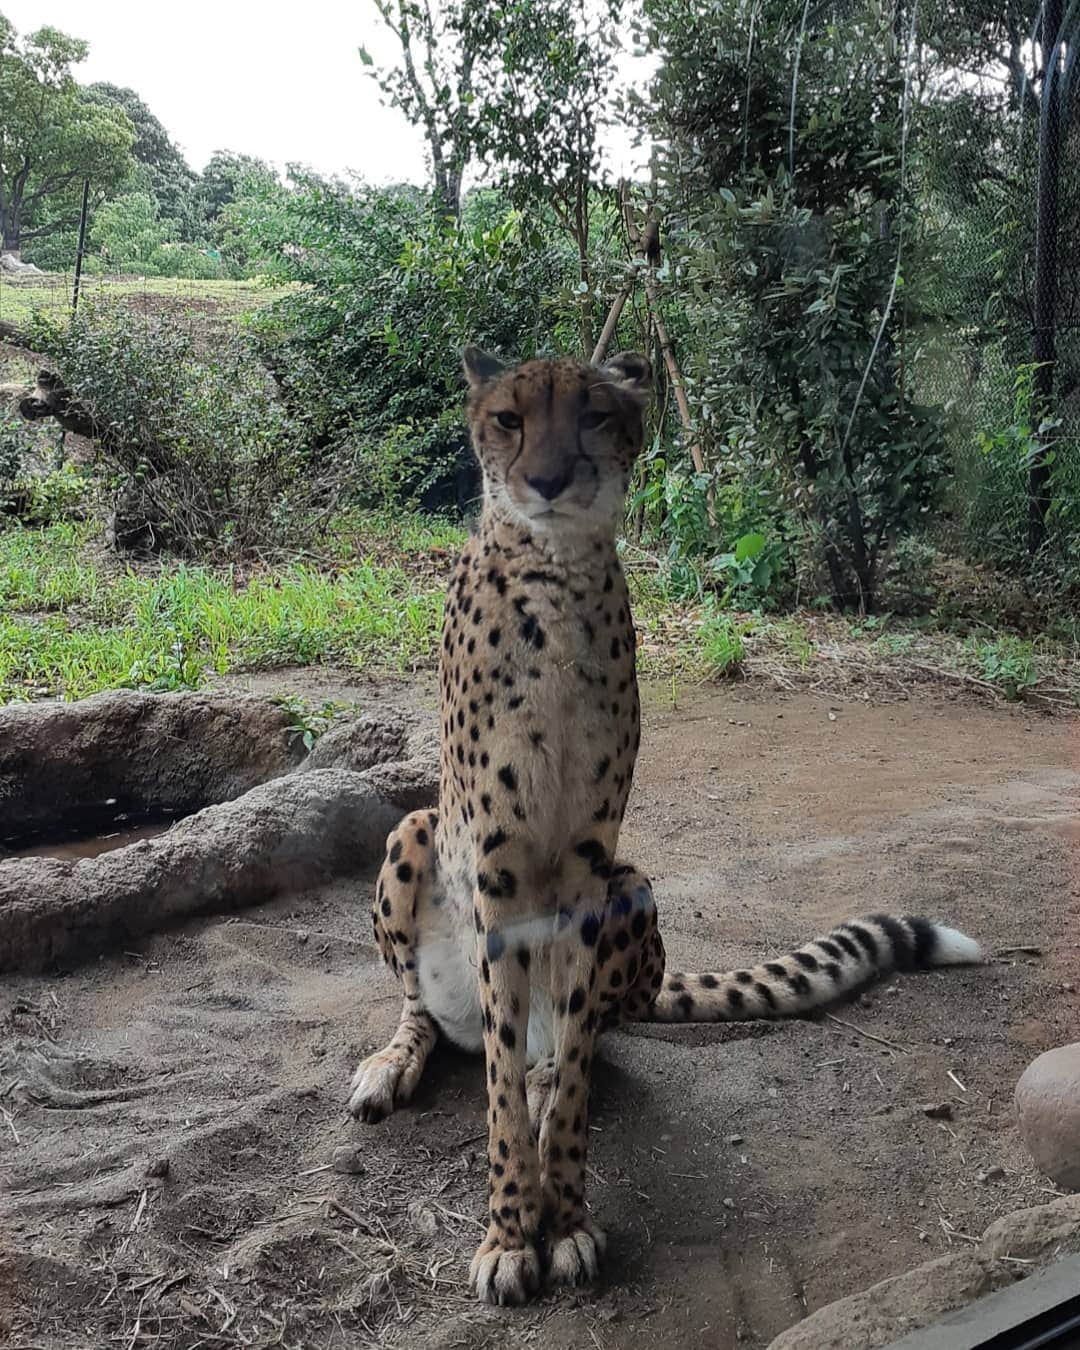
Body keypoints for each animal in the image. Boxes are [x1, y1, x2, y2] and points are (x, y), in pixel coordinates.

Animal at [345, 345, 977, 1306]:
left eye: (595, 416)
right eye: (508, 419)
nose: (546, 479)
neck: (556, 578)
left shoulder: (586, 870)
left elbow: (569, 1069)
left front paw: (564, 1217)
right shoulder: (494, 869)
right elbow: (495, 1091)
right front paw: (510, 1232)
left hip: (630, 884)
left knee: (574, 1046)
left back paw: (542, 1081)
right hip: (416, 830)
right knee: (428, 1009)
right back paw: (398, 1059)